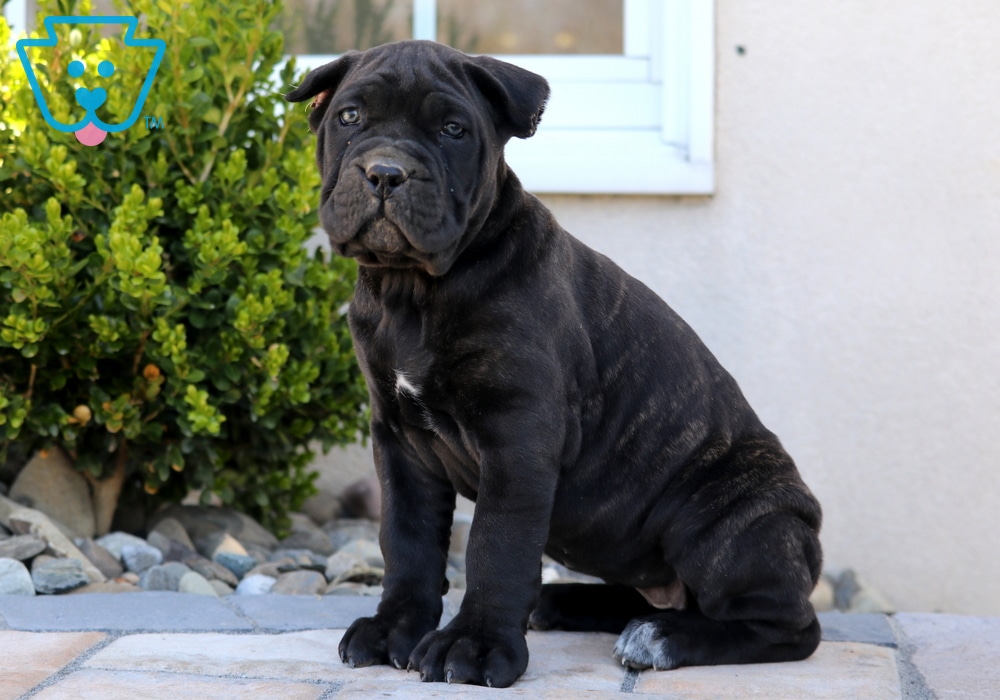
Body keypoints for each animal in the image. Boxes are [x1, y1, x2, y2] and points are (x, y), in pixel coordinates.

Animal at [286, 40, 823, 688]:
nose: (386, 172)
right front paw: (394, 629)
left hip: (727, 520)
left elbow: (496, 546)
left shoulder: (518, 440)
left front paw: (476, 645)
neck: (412, 291)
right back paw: (573, 604)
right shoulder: (401, 442)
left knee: (786, 626)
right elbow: (406, 541)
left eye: (452, 130)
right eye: (350, 117)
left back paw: (665, 637)